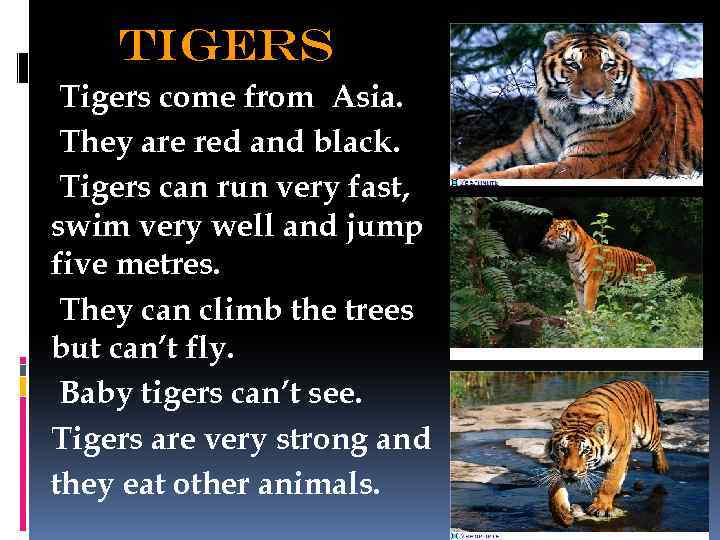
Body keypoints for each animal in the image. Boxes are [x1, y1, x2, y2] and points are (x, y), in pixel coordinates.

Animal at [451, 30, 703, 179]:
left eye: (607, 65)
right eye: (573, 64)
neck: (565, 117)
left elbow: (520, 174)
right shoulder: (521, 149)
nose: (594, 93)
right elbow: (483, 161)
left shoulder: (583, 164)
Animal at [546, 380, 669, 527]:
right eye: (563, 450)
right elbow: (554, 490)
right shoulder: (558, 464)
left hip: (646, 435)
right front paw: (562, 514)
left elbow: (610, 482)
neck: (581, 417)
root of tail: (638, 382)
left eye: (585, 451)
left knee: (658, 443)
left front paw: (601, 507)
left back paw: (662, 467)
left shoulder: (620, 454)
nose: (570, 472)